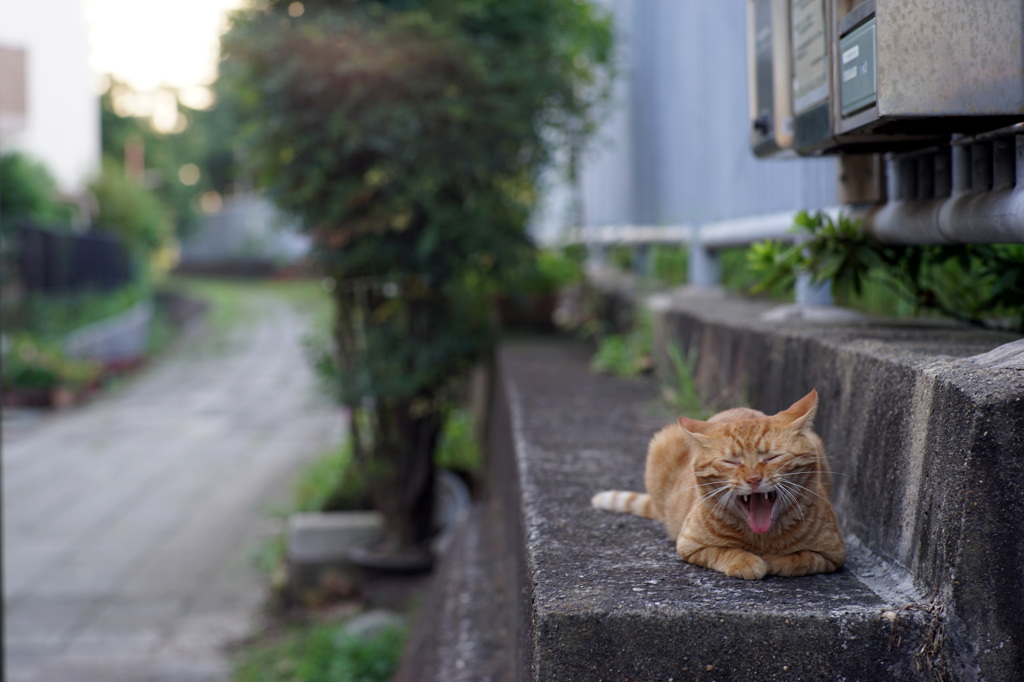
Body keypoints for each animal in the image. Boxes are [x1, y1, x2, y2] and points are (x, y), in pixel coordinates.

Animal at [589, 391, 843, 577]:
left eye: (772, 458)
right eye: (731, 461)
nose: (753, 479)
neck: (760, 538)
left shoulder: (833, 555)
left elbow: (800, 559)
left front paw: (771, 561)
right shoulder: (690, 545)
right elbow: (724, 551)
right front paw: (747, 562)